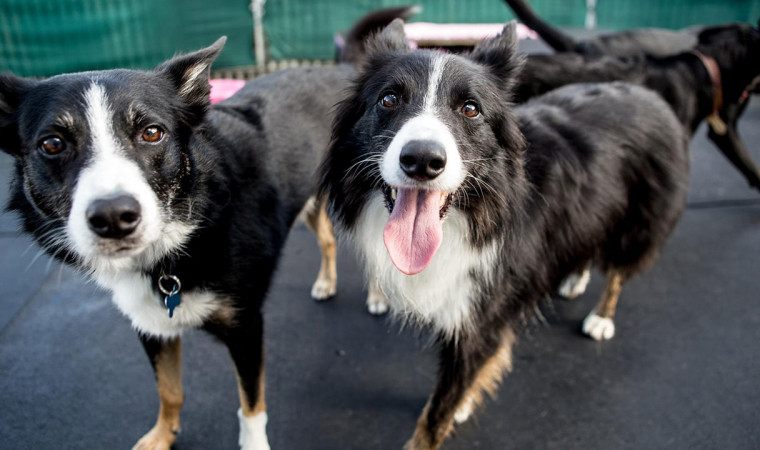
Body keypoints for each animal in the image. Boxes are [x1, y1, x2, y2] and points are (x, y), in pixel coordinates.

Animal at [0, 4, 418, 446]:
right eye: (52, 144)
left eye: (152, 132)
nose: (114, 217)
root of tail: (345, 69)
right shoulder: (151, 326)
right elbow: (169, 390)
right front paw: (162, 436)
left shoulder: (247, 326)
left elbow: (250, 405)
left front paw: (254, 444)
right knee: (326, 239)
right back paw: (325, 282)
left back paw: (377, 295)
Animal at [320, 22, 696, 450]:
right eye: (389, 99)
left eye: (470, 108)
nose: (422, 160)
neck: (475, 214)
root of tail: (646, 92)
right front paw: (464, 402)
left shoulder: (482, 316)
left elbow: (436, 412)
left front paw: (443, 418)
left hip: (641, 220)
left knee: (619, 269)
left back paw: (601, 317)